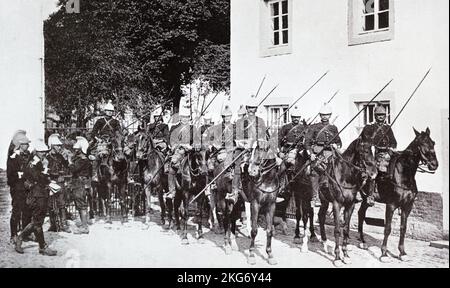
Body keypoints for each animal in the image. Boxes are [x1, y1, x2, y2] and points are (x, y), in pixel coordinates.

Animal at [316, 138, 380, 266]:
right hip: (323, 199)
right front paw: (337, 257)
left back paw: (324, 242)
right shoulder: (337, 204)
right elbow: (337, 230)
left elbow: (345, 229)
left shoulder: (350, 205)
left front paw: (345, 255)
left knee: (321, 215)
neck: (345, 177)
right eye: (365, 151)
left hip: (325, 202)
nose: (374, 173)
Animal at [356, 128, 438, 264]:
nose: (434, 164)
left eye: (433, 143)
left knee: (361, 213)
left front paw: (402, 252)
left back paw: (362, 241)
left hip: (365, 200)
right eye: (421, 143)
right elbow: (387, 228)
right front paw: (384, 254)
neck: (404, 174)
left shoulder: (407, 206)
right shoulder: (391, 205)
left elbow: (403, 228)